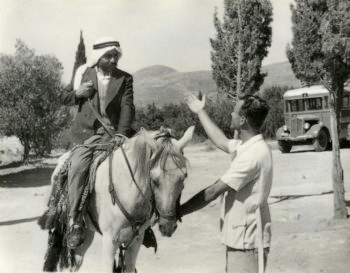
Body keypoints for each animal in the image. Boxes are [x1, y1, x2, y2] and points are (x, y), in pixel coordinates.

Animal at [41, 126, 196, 272]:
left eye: (184, 177)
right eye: (154, 179)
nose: (167, 226)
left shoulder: (135, 241)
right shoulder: (110, 240)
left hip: (88, 233)